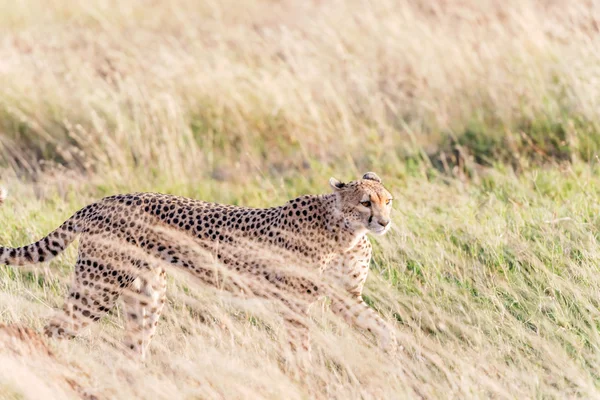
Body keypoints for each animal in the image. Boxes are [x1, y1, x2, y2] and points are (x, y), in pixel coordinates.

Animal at [0, 172, 396, 356]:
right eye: (365, 202)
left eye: (388, 200)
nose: (384, 222)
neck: (346, 232)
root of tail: (104, 200)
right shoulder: (294, 301)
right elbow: (300, 346)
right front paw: (303, 373)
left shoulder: (344, 296)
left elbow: (380, 325)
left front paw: (392, 352)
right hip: (98, 287)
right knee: (53, 328)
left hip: (147, 294)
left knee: (134, 345)